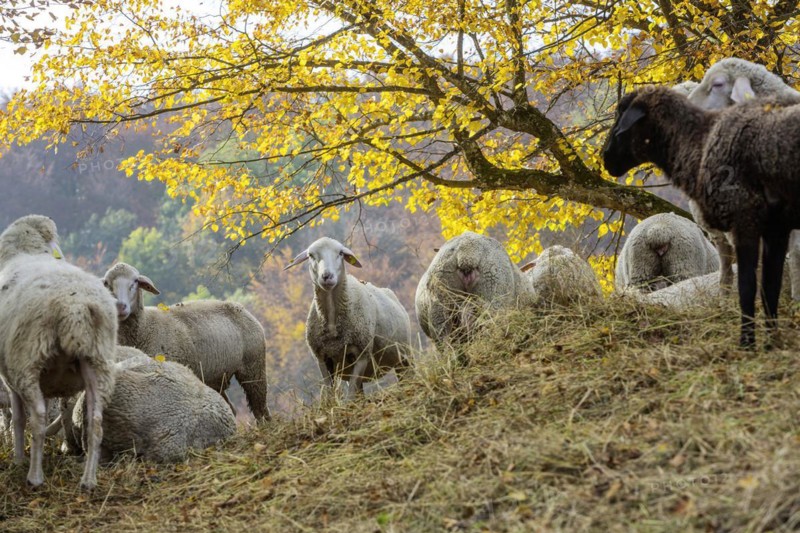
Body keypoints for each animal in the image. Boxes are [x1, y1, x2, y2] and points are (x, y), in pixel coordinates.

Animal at [0, 215, 117, 489]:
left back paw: (34, 476)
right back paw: (88, 480)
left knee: (38, 418)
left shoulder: (11, 378)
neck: (27, 250)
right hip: (97, 361)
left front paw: (17, 460)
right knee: (96, 422)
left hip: (28, 359)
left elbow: (18, 420)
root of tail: (75, 306)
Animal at [102, 262, 270, 421]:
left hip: (254, 368)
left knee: (260, 409)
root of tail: (240, 307)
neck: (145, 327)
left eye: (135, 282)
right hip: (216, 378)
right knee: (231, 408)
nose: (120, 306)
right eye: (107, 284)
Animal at [284, 237, 412, 397]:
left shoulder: (362, 354)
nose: (327, 276)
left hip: (404, 356)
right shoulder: (322, 359)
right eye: (311, 255)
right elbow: (331, 393)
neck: (332, 322)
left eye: (340, 253)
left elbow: (350, 395)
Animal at [602, 86, 800, 347]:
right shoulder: (771, 230)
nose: (605, 157)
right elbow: (766, 286)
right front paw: (766, 341)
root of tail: (658, 231)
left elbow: (750, 286)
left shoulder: (747, 223)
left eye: (620, 115)